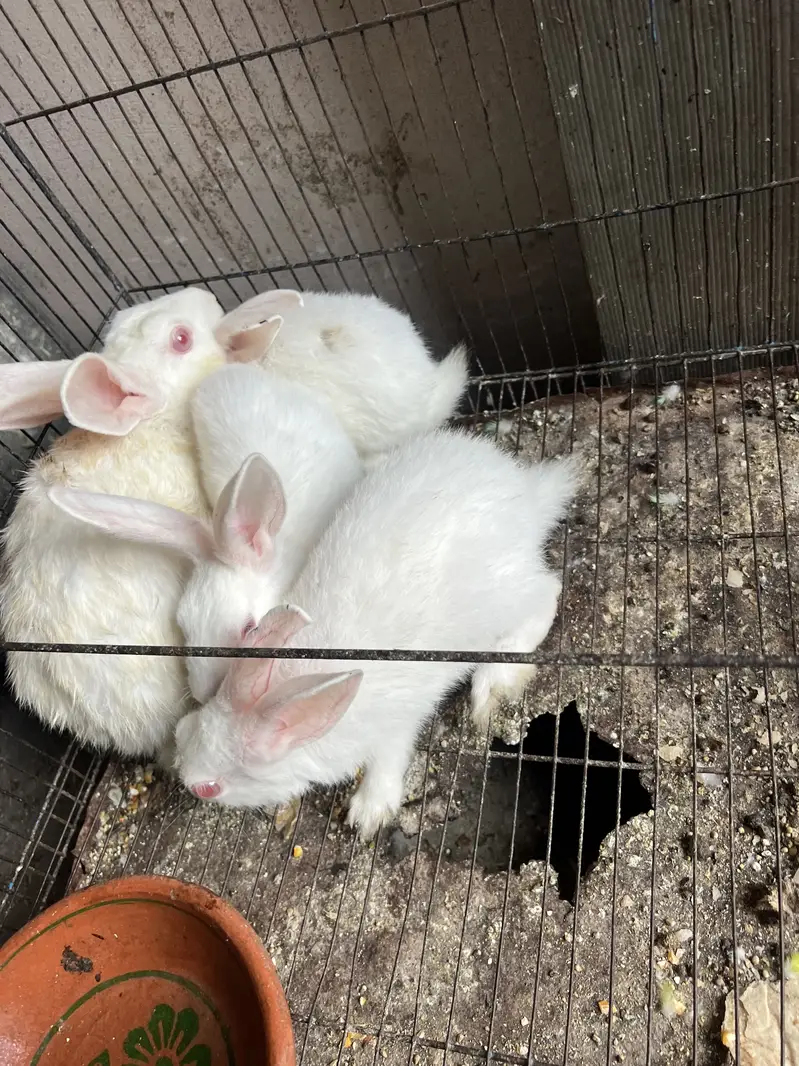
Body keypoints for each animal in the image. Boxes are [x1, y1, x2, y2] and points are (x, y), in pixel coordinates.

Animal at [171, 429, 577, 837]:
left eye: (210, 788)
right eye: (183, 729)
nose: (185, 777)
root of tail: (528, 497)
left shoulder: (394, 730)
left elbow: (387, 762)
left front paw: (368, 813)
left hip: (508, 596)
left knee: (547, 593)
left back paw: (495, 680)